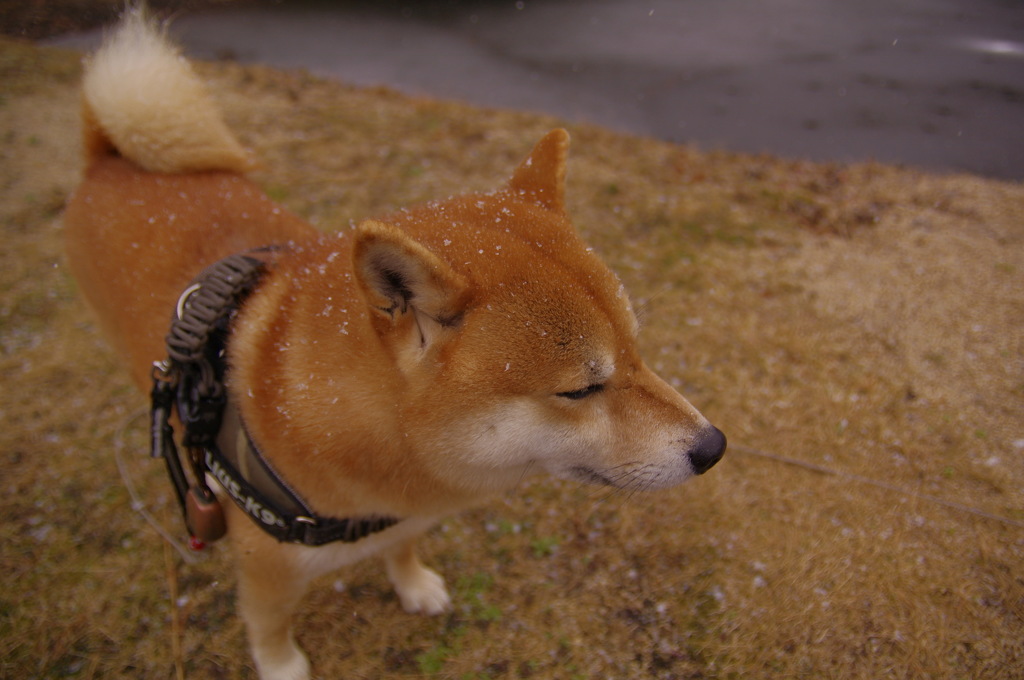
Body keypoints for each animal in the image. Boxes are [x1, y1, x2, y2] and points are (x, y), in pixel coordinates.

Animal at [64, 6, 724, 680]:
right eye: (581, 389)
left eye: (636, 353)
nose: (714, 446)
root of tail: (110, 154)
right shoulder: (267, 566)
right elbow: (269, 626)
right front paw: (282, 666)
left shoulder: (404, 516)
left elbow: (402, 548)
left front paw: (413, 585)